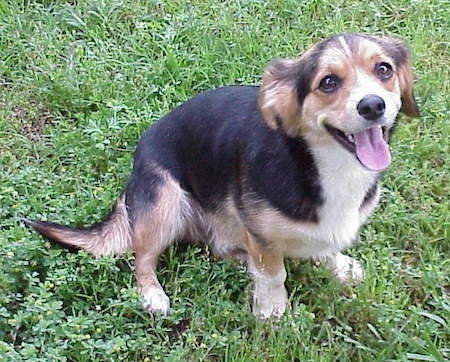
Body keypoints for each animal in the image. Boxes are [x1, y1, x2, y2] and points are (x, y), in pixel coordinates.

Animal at [24, 33, 418, 316]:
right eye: (329, 82)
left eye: (383, 69)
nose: (373, 105)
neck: (325, 164)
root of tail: (134, 171)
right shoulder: (259, 233)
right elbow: (273, 273)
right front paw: (272, 311)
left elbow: (326, 246)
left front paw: (338, 268)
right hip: (164, 202)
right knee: (142, 258)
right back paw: (153, 295)